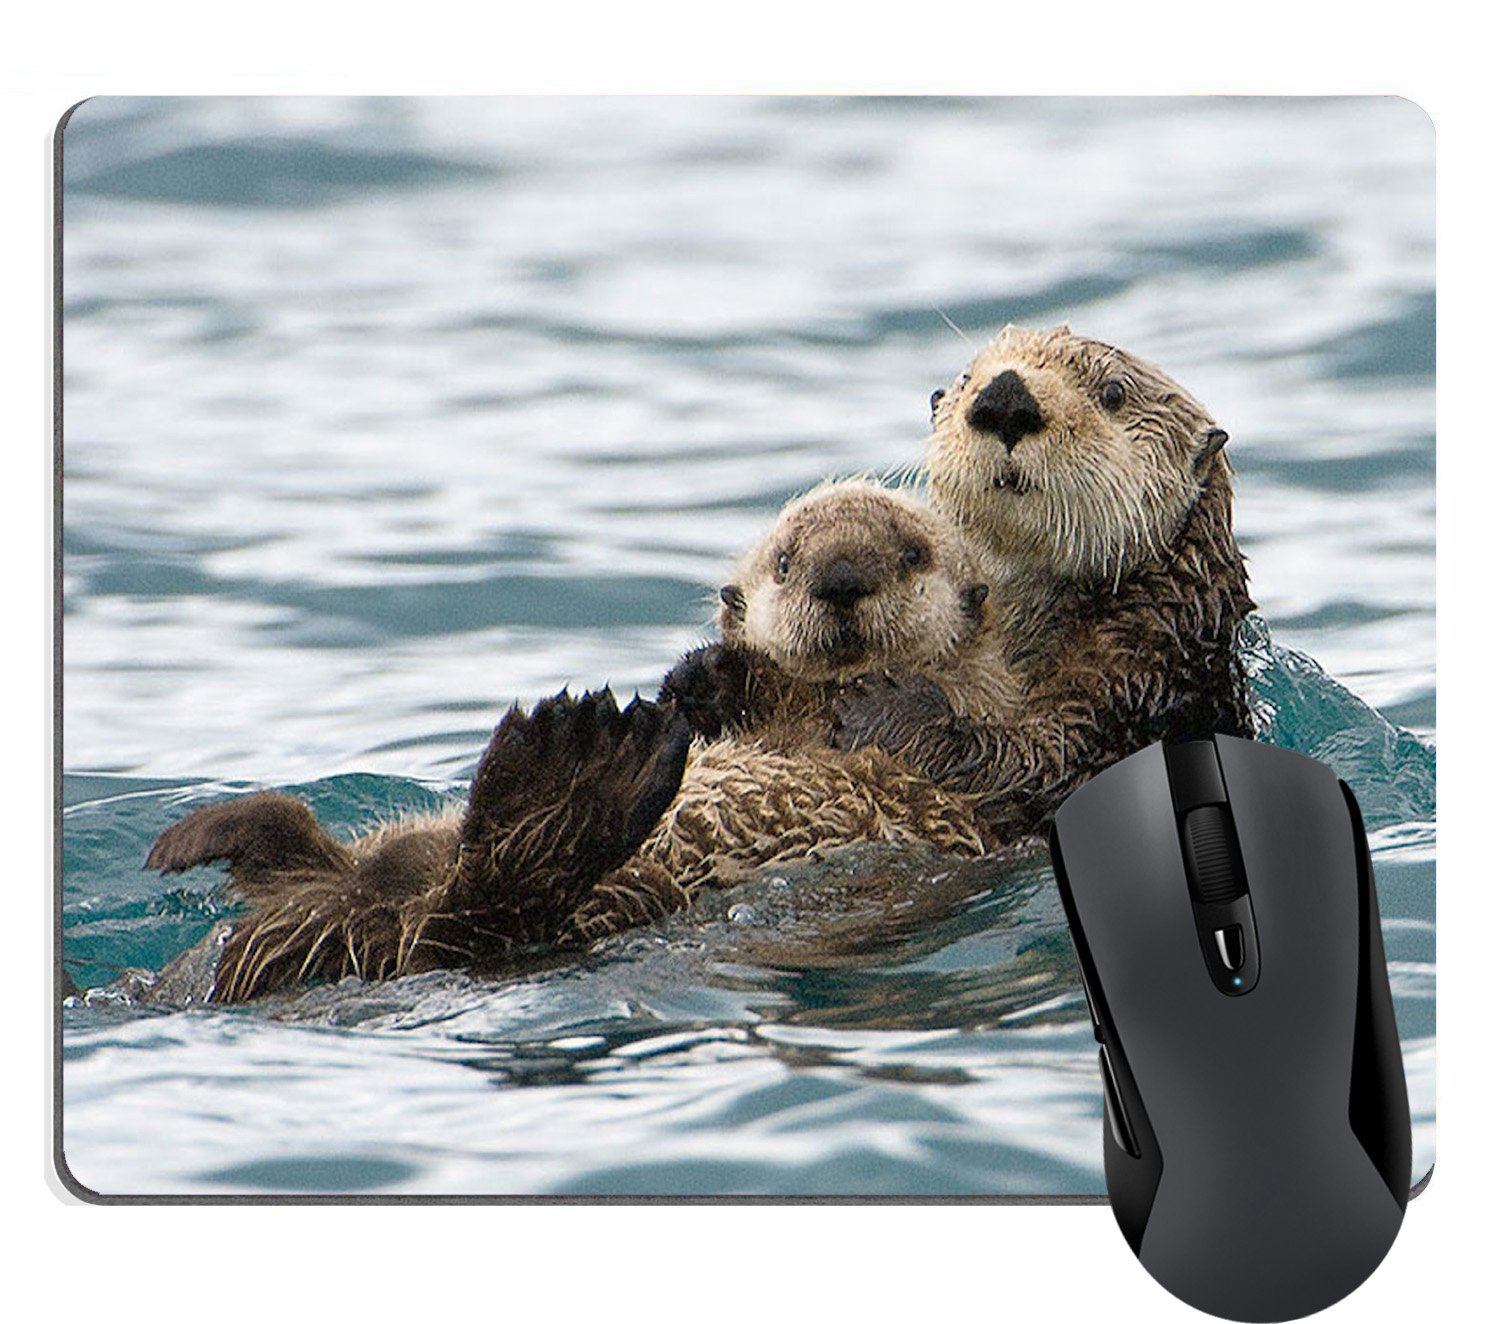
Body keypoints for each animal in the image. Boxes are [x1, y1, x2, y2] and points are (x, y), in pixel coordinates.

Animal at [143, 481, 1008, 1002]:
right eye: (788, 563)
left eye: (911, 553)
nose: (840, 581)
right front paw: (706, 677)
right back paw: (218, 834)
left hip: (611, 896)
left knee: (473, 918)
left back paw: (576, 761)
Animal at [827, 324, 1255, 839]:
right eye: (967, 378)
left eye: (1113, 392)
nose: (1005, 397)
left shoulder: (1135, 680)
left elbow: (1043, 770)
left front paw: (885, 704)